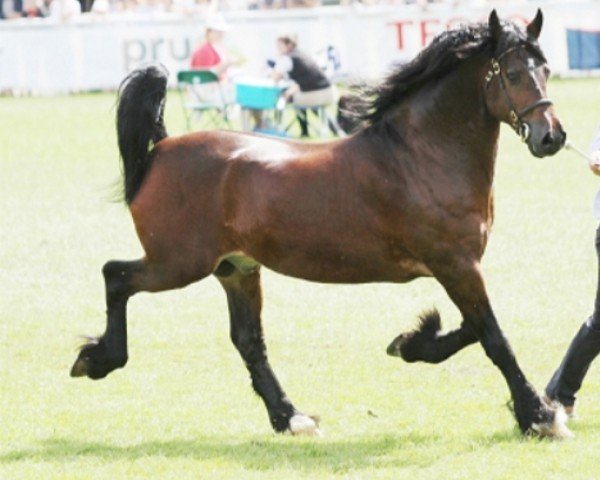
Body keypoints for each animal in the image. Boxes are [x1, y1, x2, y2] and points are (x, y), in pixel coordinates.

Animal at [71, 10, 568, 438]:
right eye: (513, 73)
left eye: (545, 69)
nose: (552, 137)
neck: (420, 156)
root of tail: (161, 148)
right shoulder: (456, 265)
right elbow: (493, 337)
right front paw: (540, 416)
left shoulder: (459, 269)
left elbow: (472, 328)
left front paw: (411, 341)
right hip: (177, 263)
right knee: (115, 275)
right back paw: (97, 360)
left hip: (236, 269)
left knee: (248, 340)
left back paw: (290, 417)